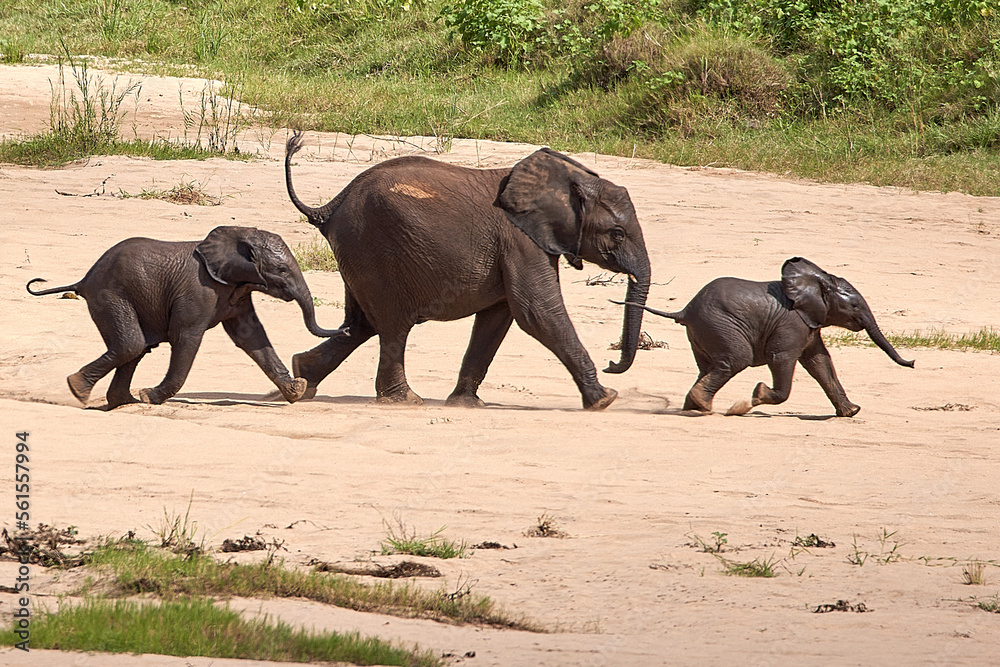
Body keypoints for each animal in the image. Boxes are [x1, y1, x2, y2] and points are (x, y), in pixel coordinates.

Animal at [25, 227, 346, 410]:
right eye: (281, 270)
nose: (344, 329)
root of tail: (83, 280)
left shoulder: (237, 292)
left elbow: (252, 337)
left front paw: (296, 391)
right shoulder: (199, 289)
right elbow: (187, 336)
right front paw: (150, 396)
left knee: (136, 348)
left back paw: (123, 402)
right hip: (111, 295)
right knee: (132, 344)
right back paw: (79, 390)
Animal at [286, 131, 652, 410]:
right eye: (617, 234)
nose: (612, 364)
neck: (567, 179)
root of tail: (330, 206)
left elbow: (497, 318)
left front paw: (465, 403)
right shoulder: (521, 241)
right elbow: (536, 312)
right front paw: (605, 400)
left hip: (359, 252)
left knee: (361, 324)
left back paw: (302, 379)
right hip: (373, 247)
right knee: (393, 325)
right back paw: (405, 400)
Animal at [624, 258, 916, 418]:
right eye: (854, 306)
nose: (913, 363)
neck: (817, 282)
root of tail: (685, 309)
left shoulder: (810, 325)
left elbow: (820, 362)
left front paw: (852, 412)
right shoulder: (791, 324)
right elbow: (783, 358)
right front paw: (754, 398)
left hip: (704, 331)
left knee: (708, 367)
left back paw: (694, 407)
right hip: (721, 324)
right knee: (735, 360)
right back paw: (706, 406)